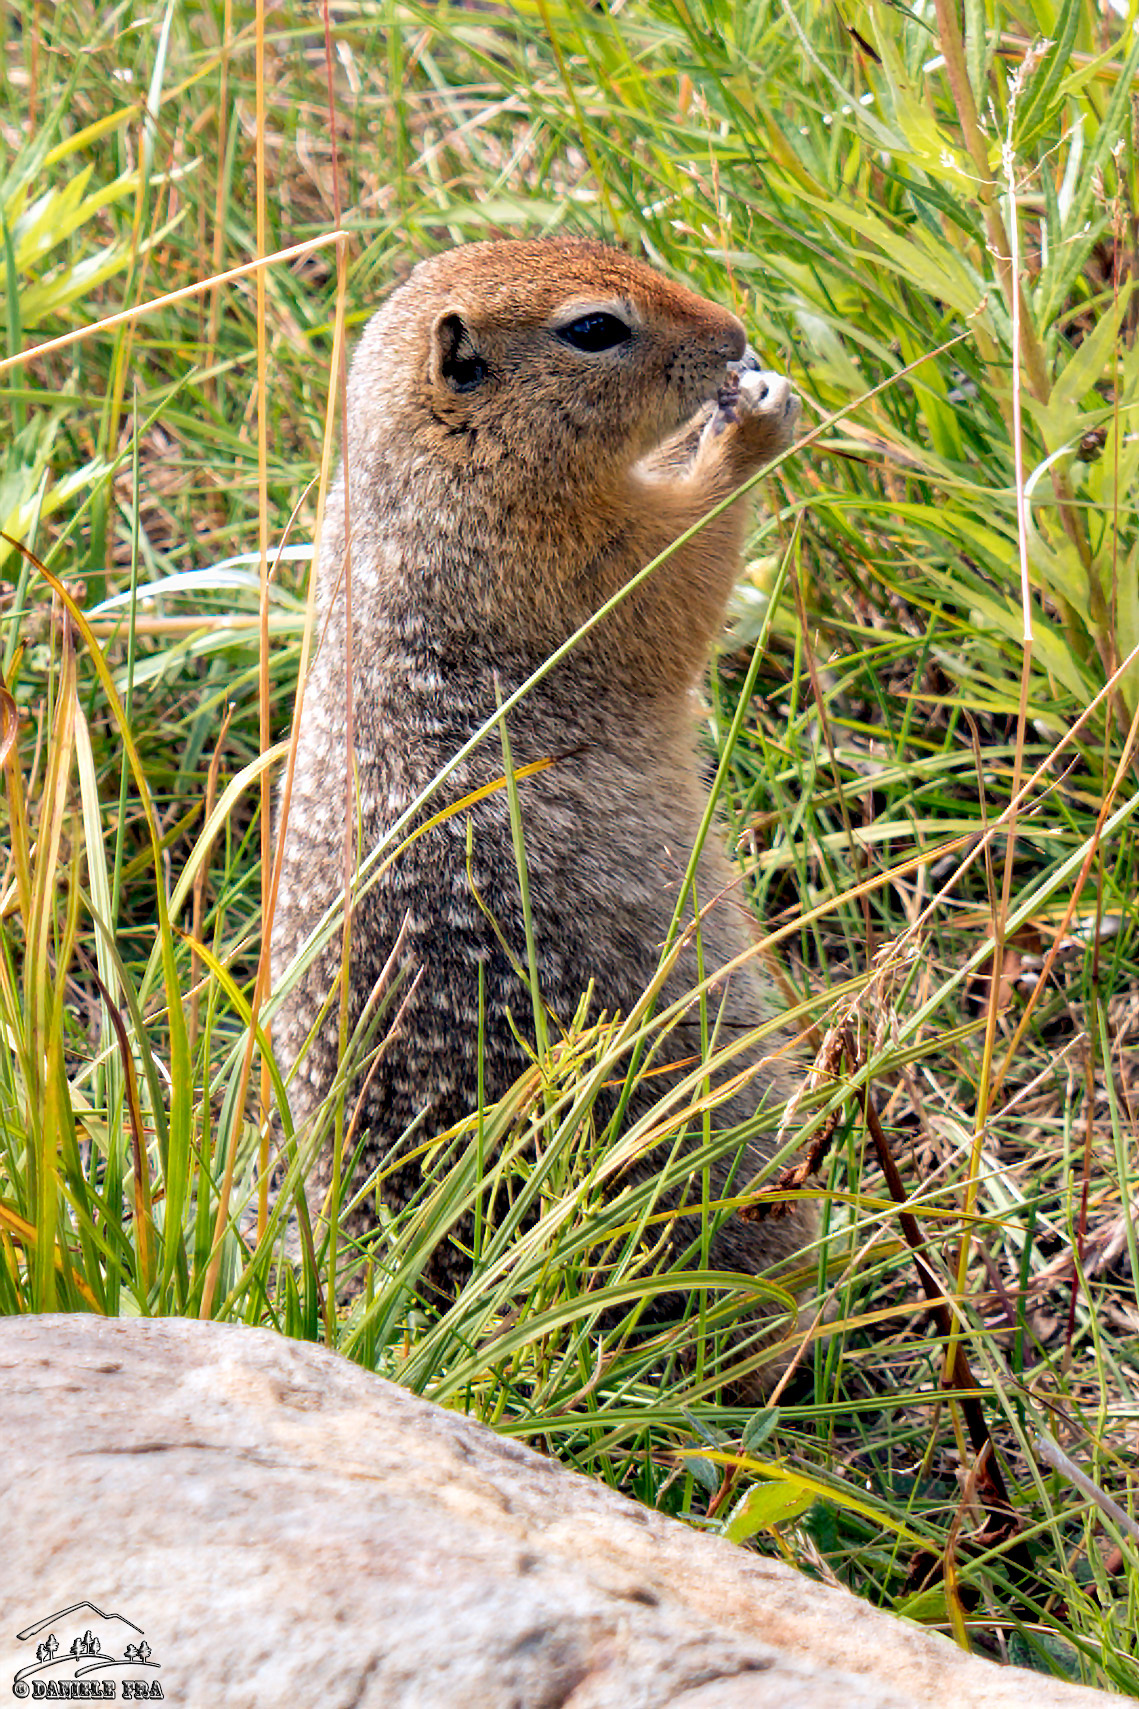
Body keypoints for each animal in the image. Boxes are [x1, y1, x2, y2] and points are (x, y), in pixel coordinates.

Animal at [272, 237, 813, 1368]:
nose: (734, 335)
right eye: (594, 329)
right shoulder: (569, 565)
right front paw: (747, 425)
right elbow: (679, 571)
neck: (428, 479)